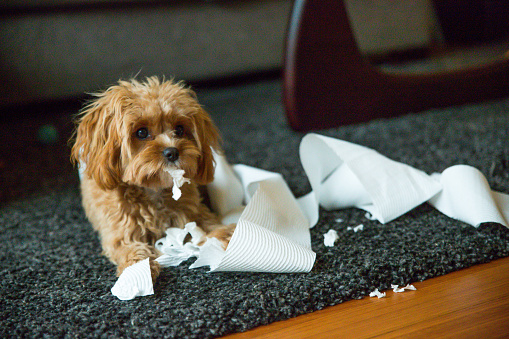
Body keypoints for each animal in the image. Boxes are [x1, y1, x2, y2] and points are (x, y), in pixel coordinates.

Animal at [70, 77, 235, 282]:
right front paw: (137, 269)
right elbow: (127, 248)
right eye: (141, 132)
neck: (153, 191)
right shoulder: (119, 232)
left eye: (179, 129)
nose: (172, 151)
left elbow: (209, 223)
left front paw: (229, 235)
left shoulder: (194, 211)